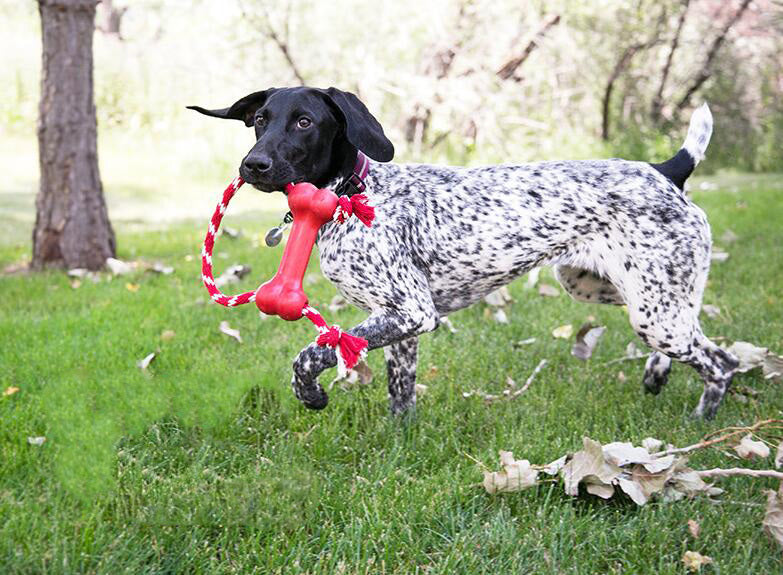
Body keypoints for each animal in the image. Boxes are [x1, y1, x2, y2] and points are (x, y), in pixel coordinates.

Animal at [190, 86, 740, 418]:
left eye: (304, 122)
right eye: (260, 120)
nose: (252, 165)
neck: (355, 195)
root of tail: (665, 169)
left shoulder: (411, 312)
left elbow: (311, 353)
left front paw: (311, 392)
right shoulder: (400, 323)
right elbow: (401, 395)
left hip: (655, 312)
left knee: (724, 363)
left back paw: (700, 423)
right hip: (620, 292)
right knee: (697, 336)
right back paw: (657, 375)